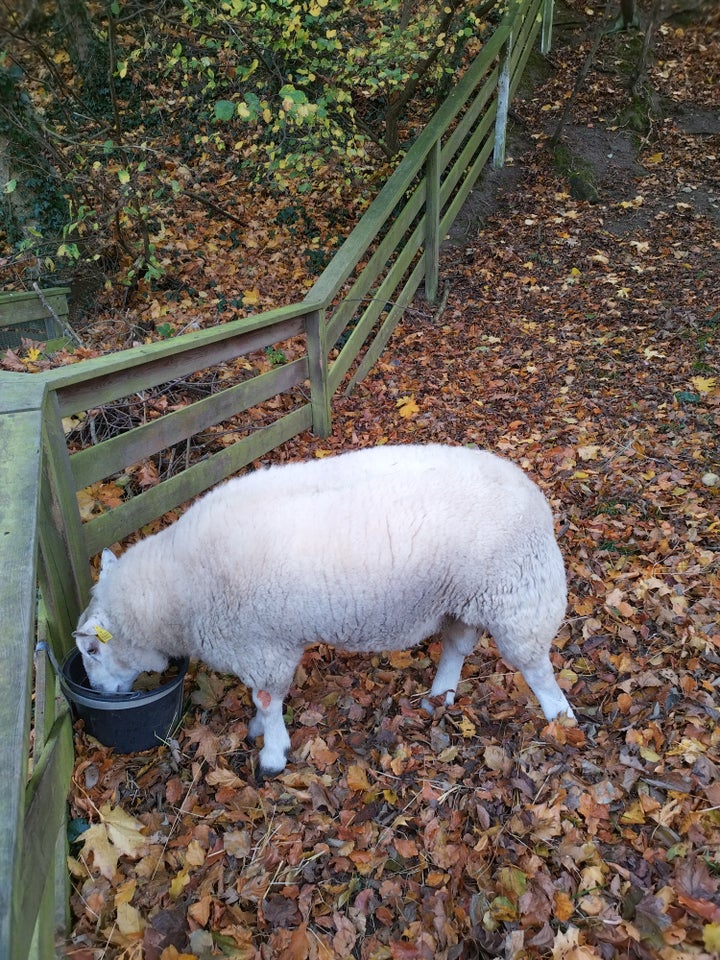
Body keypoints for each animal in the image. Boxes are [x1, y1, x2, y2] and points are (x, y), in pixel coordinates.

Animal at [74, 446, 572, 776]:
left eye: (92, 651)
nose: (98, 691)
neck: (175, 592)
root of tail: (534, 494)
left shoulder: (261, 645)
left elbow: (268, 699)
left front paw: (272, 753)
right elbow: (261, 700)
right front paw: (258, 731)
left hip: (518, 597)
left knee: (536, 666)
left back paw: (561, 719)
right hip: (462, 601)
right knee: (456, 648)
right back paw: (439, 697)